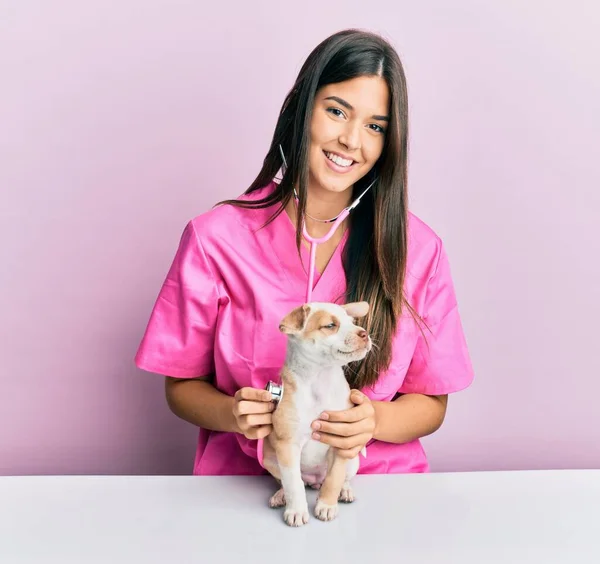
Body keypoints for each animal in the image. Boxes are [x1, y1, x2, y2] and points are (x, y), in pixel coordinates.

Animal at [262, 302, 370, 528]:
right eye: (330, 325)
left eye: (353, 322)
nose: (364, 333)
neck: (320, 378)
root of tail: (314, 481)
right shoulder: (288, 446)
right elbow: (293, 483)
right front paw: (296, 511)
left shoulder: (341, 443)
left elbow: (334, 479)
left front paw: (326, 506)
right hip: (270, 460)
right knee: (288, 482)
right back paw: (280, 495)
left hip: (352, 460)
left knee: (341, 479)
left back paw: (345, 492)